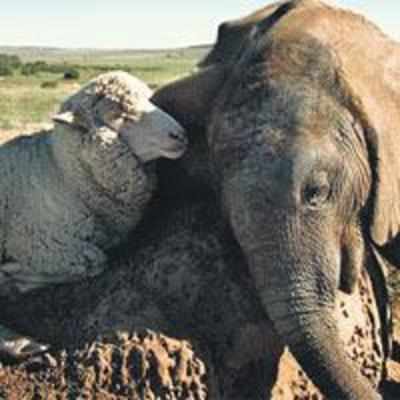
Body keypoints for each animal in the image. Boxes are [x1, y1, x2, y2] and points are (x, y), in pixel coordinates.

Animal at [0, 70, 188, 360]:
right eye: (120, 114)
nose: (180, 135)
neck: (63, 174)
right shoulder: (38, 243)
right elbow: (96, 261)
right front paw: (15, 275)